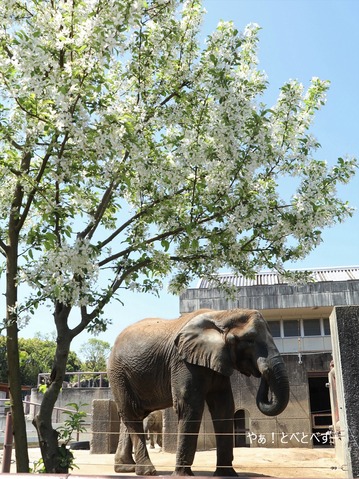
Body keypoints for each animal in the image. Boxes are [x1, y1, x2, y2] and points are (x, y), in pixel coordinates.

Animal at [108, 310, 292, 478]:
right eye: (250, 340)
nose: (263, 371)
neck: (223, 315)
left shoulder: (217, 361)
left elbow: (224, 407)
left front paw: (227, 475)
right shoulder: (183, 362)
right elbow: (190, 405)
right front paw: (182, 475)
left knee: (131, 415)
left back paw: (125, 468)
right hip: (119, 374)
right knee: (131, 414)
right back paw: (147, 471)